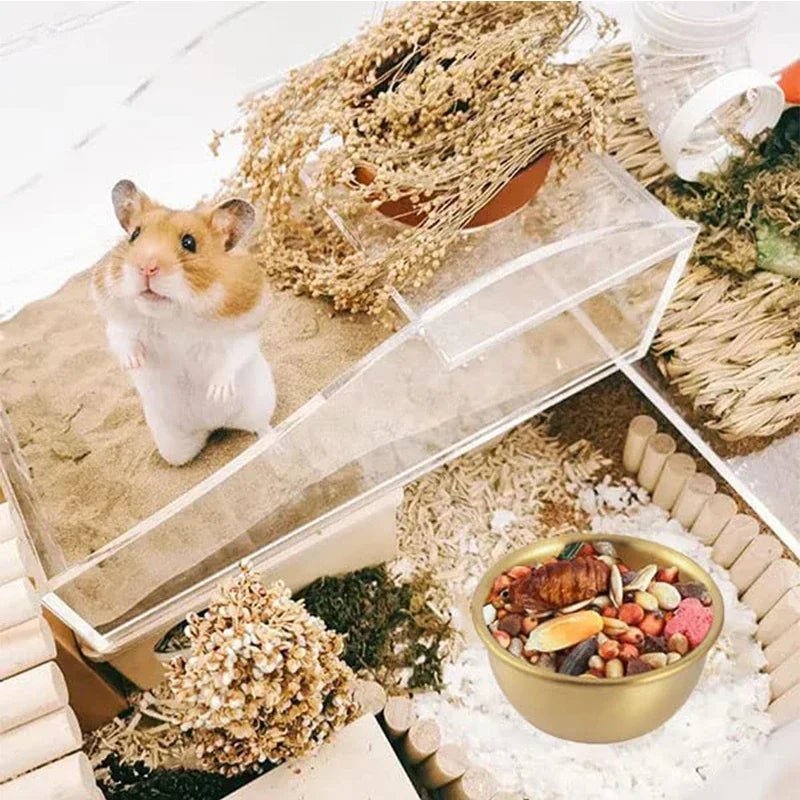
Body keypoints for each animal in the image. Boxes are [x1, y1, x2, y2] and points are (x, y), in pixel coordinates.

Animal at [92, 179, 276, 466]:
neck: (173, 316)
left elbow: (233, 357)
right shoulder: (120, 324)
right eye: (134, 235)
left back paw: (271, 441)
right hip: (170, 441)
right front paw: (133, 363)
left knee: (262, 427)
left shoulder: (242, 332)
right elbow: (123, 341)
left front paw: (217, 392)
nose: (146, 267)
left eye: (189, 242)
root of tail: (214, 425)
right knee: (181, 457)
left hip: (260, 403)